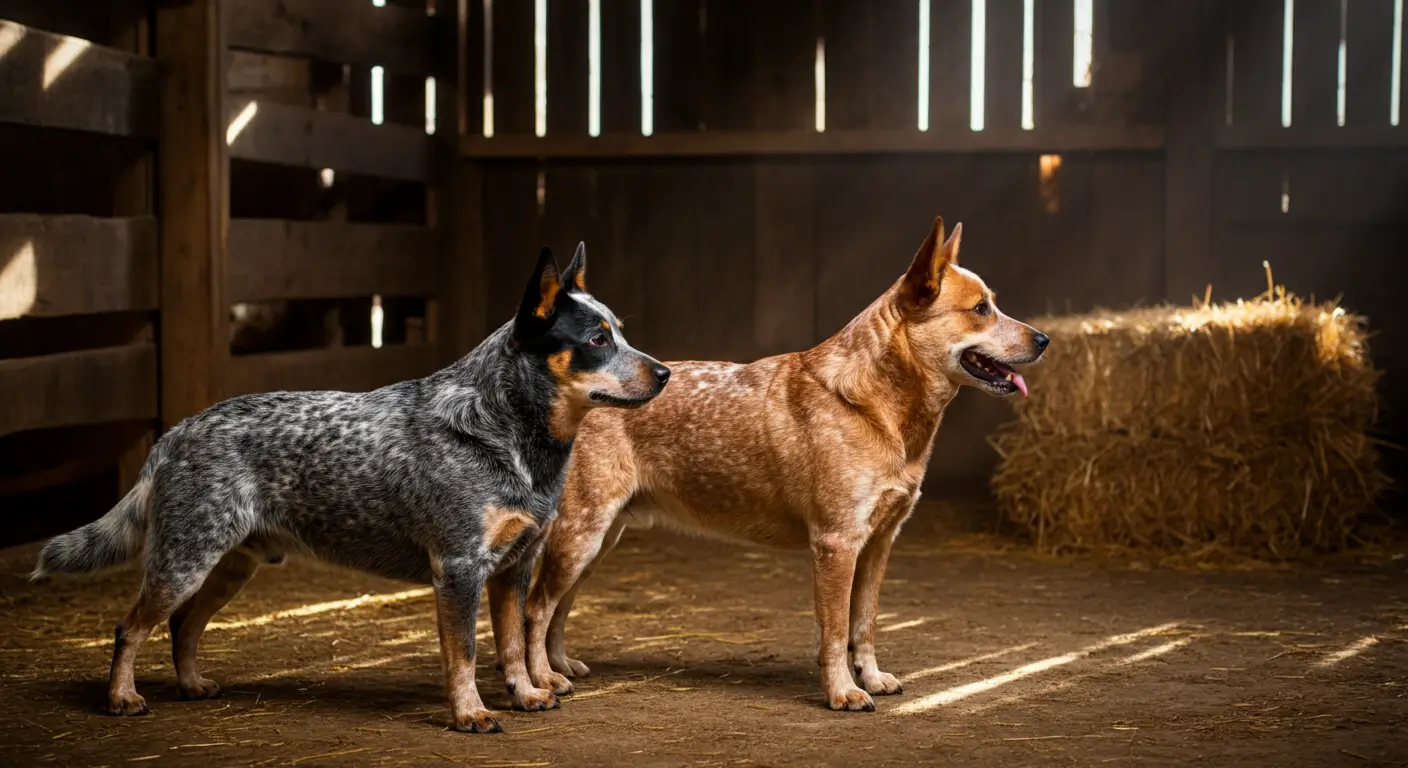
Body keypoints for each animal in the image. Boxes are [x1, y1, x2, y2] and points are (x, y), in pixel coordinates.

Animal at [31, 243, 670, 732]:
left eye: (620, 334)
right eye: (596, 340)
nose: (665, 372)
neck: (505, 429)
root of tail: (176, 431)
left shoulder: (515, 565)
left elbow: (512, 642)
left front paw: (526, 693)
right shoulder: (459, 568)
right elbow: (464, 653)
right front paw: (469, 715)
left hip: (232, 565)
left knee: (182, 626)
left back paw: (192, 685)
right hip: (183, 561)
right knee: (130, 627)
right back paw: (121, 697)